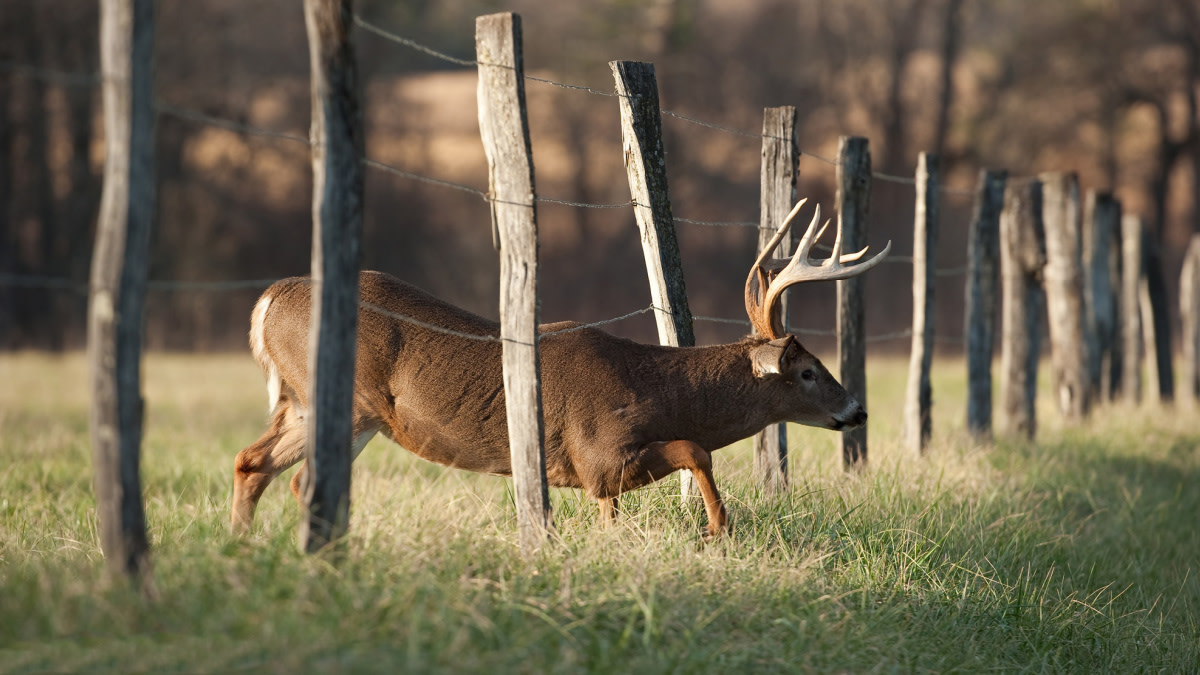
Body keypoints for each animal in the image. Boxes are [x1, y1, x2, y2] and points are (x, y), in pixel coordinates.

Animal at [231, 198, 892, 535]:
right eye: (807, 371)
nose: (858, 410)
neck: (651, 388)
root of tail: (267, 300)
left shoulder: (599, 477)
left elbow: (618, 510)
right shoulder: (598, 449)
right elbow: (695, 449)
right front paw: (718, 527)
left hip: (311, 404)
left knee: (253, 463)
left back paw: (244, 552)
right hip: (344, 401)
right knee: (301, 478)